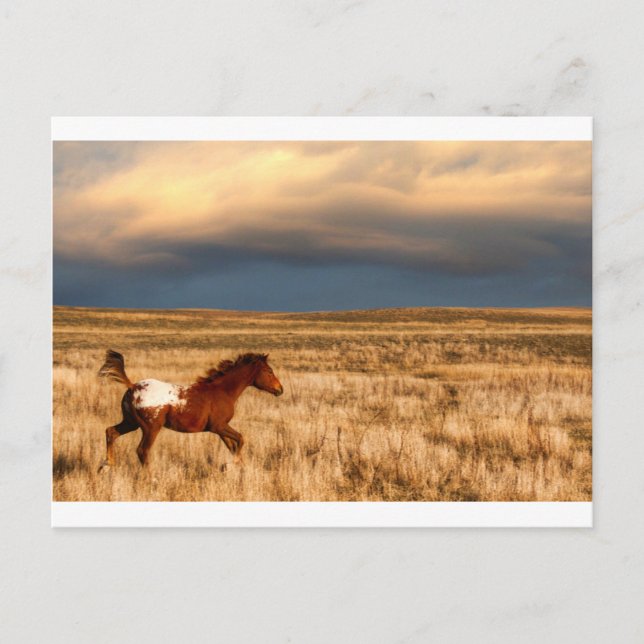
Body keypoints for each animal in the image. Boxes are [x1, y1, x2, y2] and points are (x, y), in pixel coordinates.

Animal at [97, 349, 283, 471]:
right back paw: (151, 478)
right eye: (269, 371)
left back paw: (106, 466)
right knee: (142, 451)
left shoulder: (219, 429)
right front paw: (230, 465)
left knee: (111, 432)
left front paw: (237, 466)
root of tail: (132, 387)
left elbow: (233, 445)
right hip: (151, 428)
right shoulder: (218, 426)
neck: (222, 391)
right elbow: (241, 439)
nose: (280, 389)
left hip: (131, 423)